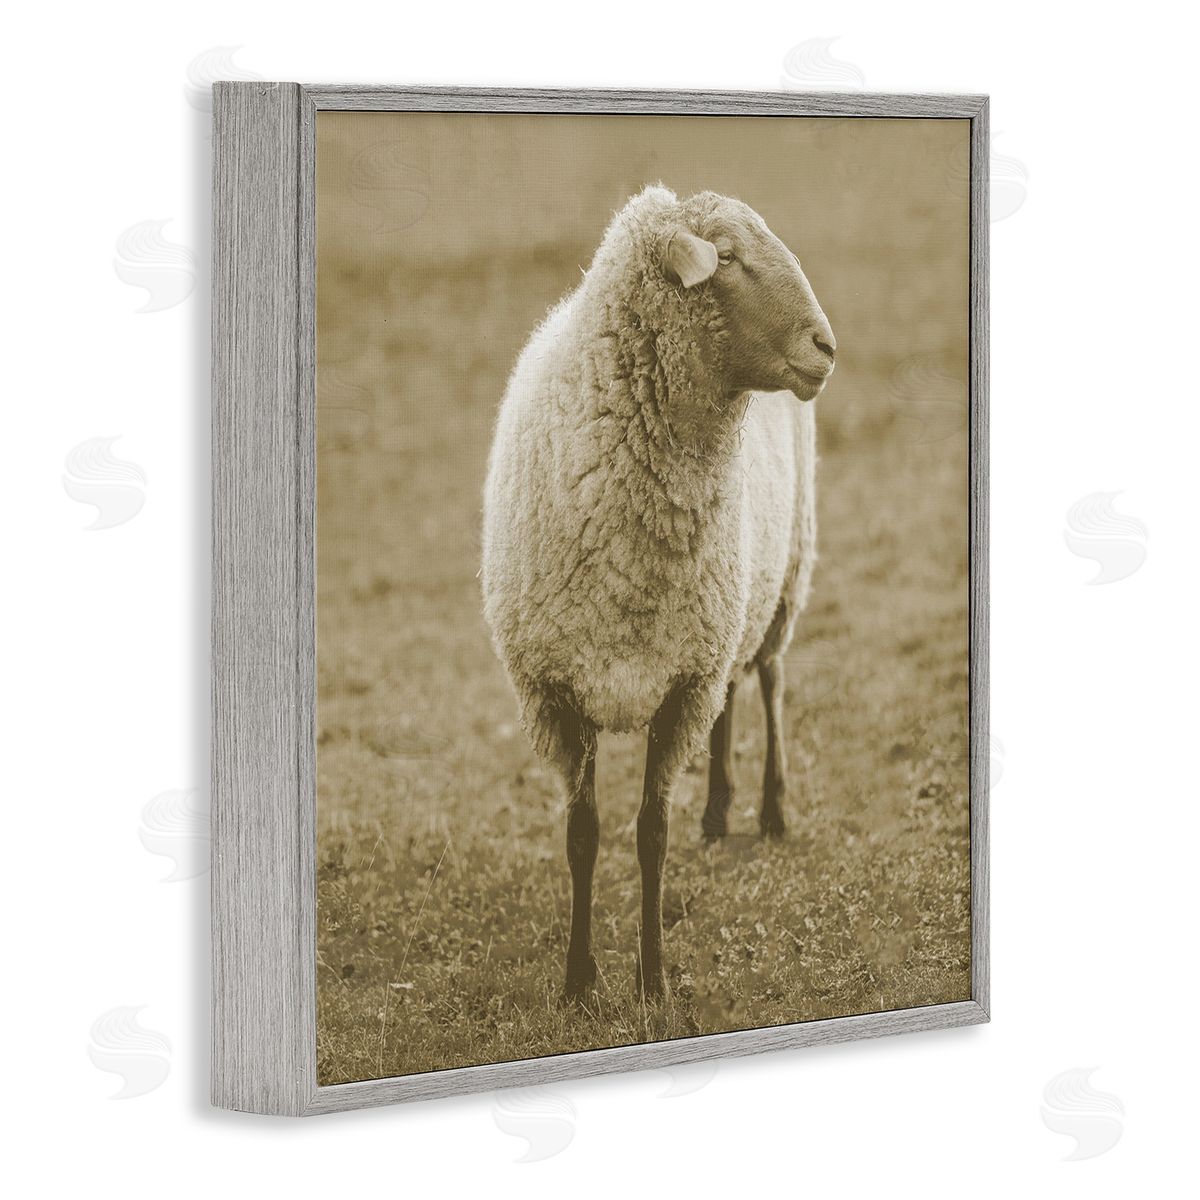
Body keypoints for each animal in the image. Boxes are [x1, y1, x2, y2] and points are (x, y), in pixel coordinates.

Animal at [481, 185, 836, 1002]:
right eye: (726, 257)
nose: (826, 347)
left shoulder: (679, 689)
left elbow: (651, 836)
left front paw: (652, 980)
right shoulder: (560, 691)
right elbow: (583, 837)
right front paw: (579, 981)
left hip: (784, 575)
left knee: (769, 679)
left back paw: (770, 806)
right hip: (728, 609)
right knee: (735, 689)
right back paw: (719, 810)